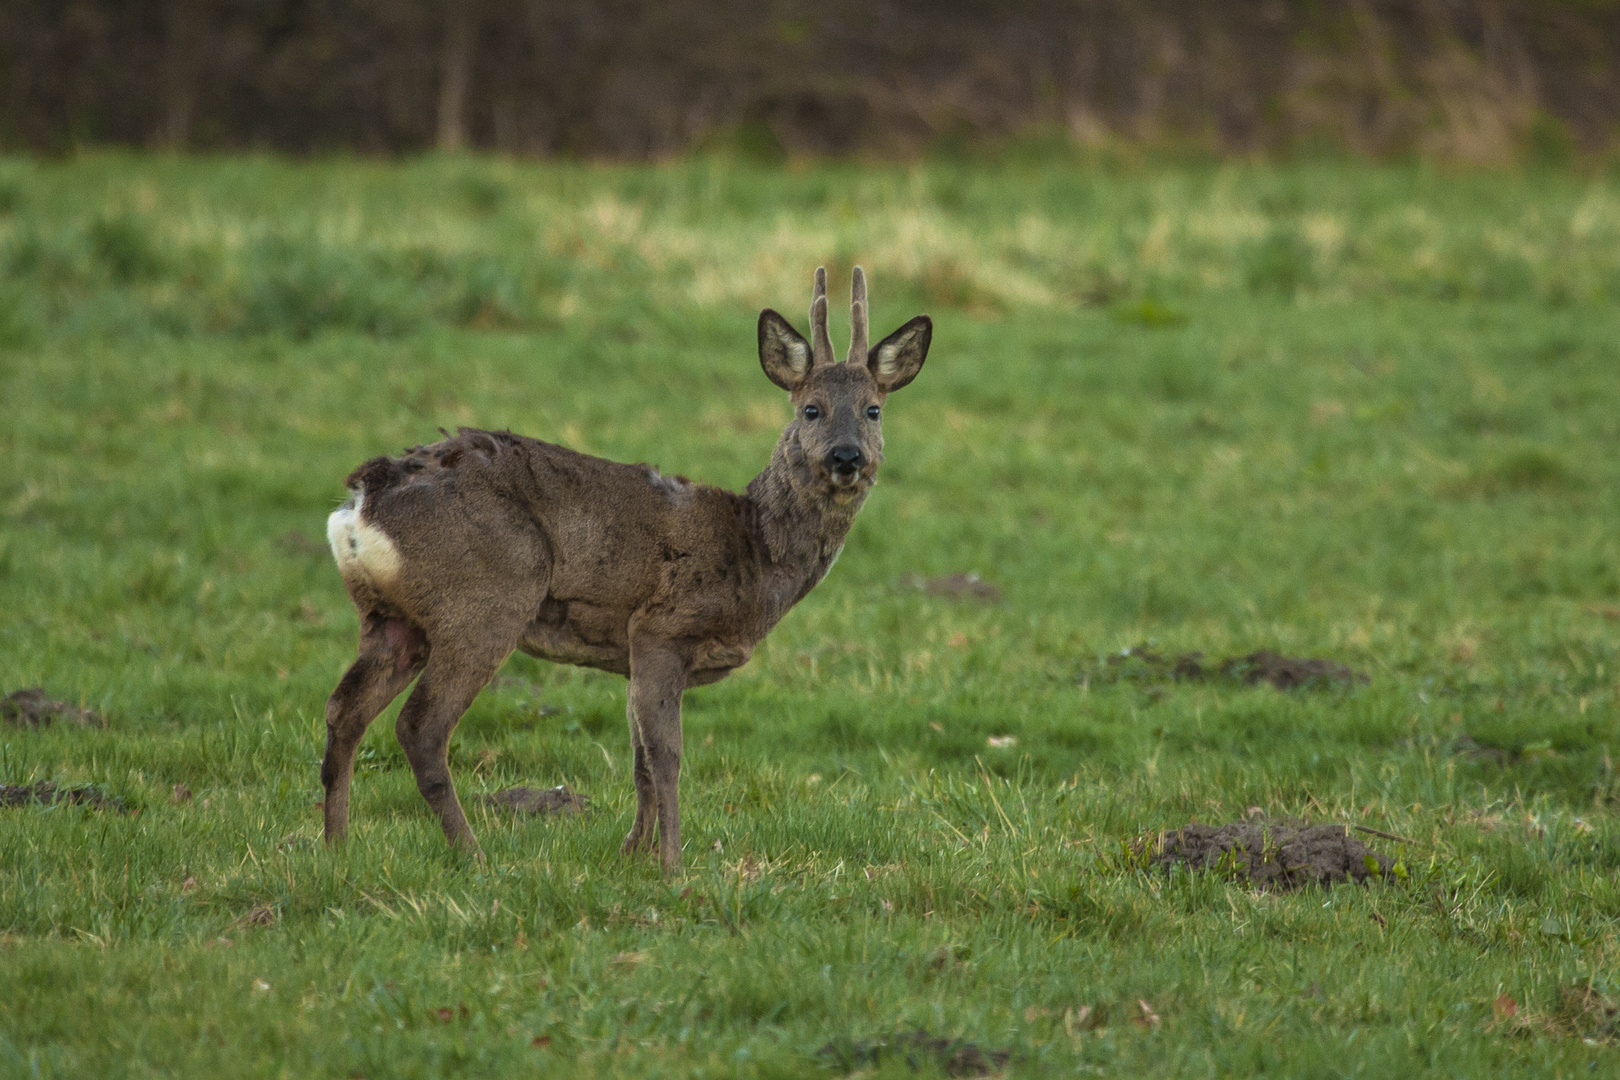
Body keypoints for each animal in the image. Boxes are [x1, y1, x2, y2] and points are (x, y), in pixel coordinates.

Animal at [322, 265, 933, 874]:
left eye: (873, 409)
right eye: (811, 409)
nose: (847, 457)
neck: (753, 553)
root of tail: (359, 504)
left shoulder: (631, 654)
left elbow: (639, 759)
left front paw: (631, 854)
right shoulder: (663, 628)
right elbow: (666, 756)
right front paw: (672, 866)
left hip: (391, 619)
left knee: (345, 709)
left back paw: (337, 847)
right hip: (487, 598)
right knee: (420, 726)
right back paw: (474, 856)